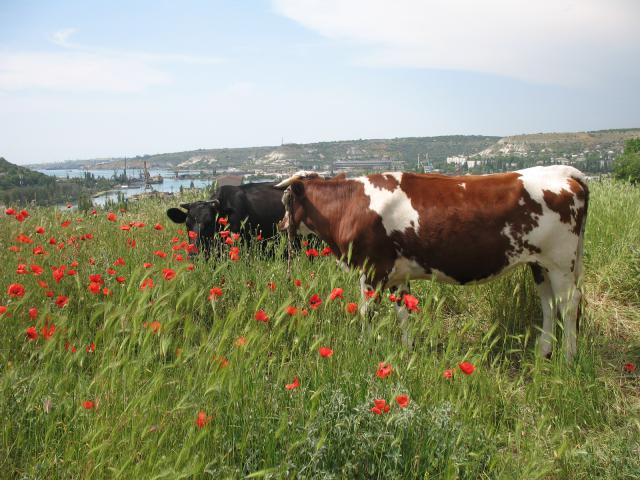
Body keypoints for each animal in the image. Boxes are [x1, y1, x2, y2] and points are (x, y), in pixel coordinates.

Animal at [276, 167, 592, 362]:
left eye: (284, 201)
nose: (280, 225)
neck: (349, 205)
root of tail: (562, 171)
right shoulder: (397, 275)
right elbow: (403, 313)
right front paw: (407, 350)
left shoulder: (372, 270)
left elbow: (367, 314)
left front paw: (364, 348)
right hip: (540, 264)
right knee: (548, 304)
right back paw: (544, 352)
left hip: (561, 263)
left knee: (569, 304)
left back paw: (568, 358)